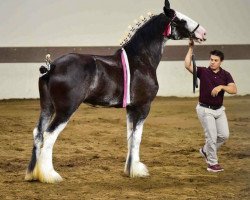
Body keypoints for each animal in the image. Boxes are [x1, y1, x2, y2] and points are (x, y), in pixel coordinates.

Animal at [25, 0, 206, 183]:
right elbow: (137, 137)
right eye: (181, 19)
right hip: (65, 110)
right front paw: (137, 170)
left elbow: (130, 136)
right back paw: (50, 175)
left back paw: (33, 173)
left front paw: (130, 169)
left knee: (38, 133)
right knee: (48, 135)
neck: (141, 59)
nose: (203, 32)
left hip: (47, 108)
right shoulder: (143, 106)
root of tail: (52, 66)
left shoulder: (131, 108)